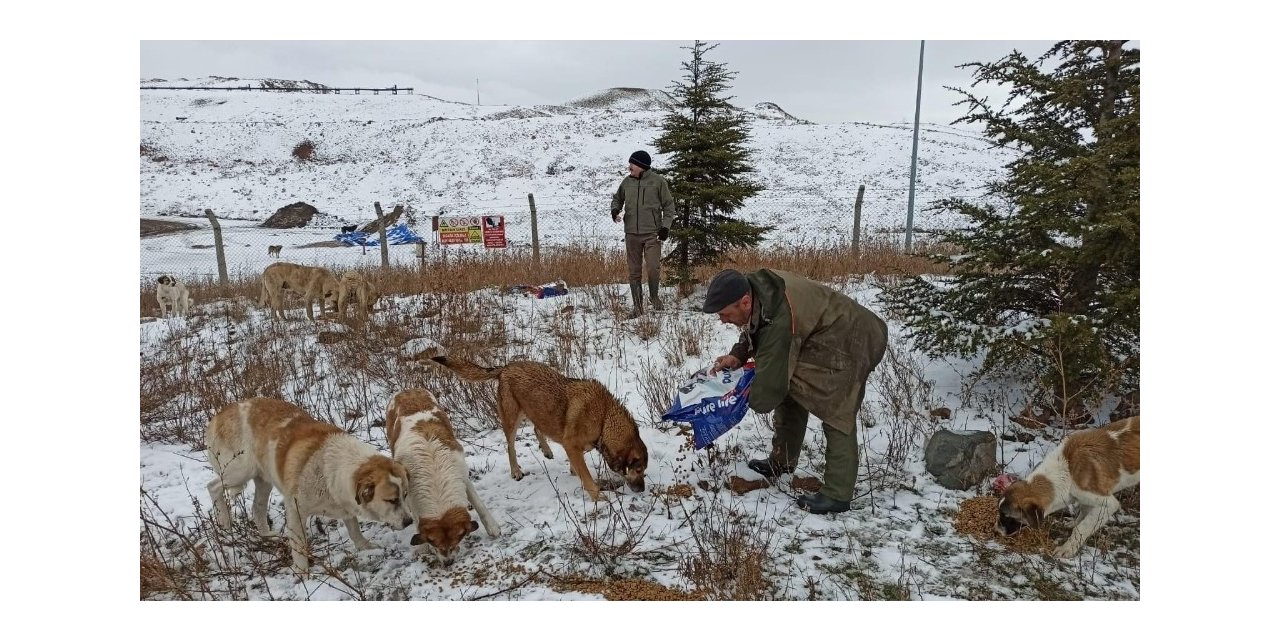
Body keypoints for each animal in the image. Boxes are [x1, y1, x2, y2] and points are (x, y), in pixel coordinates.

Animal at [207, 396, 412, 573]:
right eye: (392, 500)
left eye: (405, 495)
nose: (409, 522)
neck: (331, 467)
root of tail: (220, 414)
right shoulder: (295, 511)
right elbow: (299, 546)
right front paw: (302, 573)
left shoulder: (344, 503)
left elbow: (354, 529)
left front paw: (364, 546)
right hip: (240, 471)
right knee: (213, 487)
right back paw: (224, 524)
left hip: (264, 480)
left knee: (257, 508)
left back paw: (267, 536)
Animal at [384, 386, 499, 563]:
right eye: (434, 543)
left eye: (458, 539)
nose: (448, 562)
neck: (435, 476)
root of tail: (407, 390)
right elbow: (415, 517)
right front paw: (423, 547)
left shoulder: (463, 474)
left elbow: (479, 503)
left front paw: (492, 526)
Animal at [430, 355, 650, 499]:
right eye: (639, 470)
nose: (642, 490)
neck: (604, 418)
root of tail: (506, 367)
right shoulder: (572, 445)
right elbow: (587, 477)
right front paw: (598, 497)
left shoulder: (577, 446)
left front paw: (575, 471)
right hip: (512, 419)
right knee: (510, 446)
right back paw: (516, 471)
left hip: (538, 411)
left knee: (537, 428)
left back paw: (546, 450)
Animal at [998, 417, 1141, 558]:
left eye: (1006, 516)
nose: (997, 529)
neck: (1066, 472)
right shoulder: (1085, 498)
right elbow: (1083, 512)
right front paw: (1074, 522)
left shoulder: (1107, 504)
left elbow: (1082, 528)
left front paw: (1067, 549)